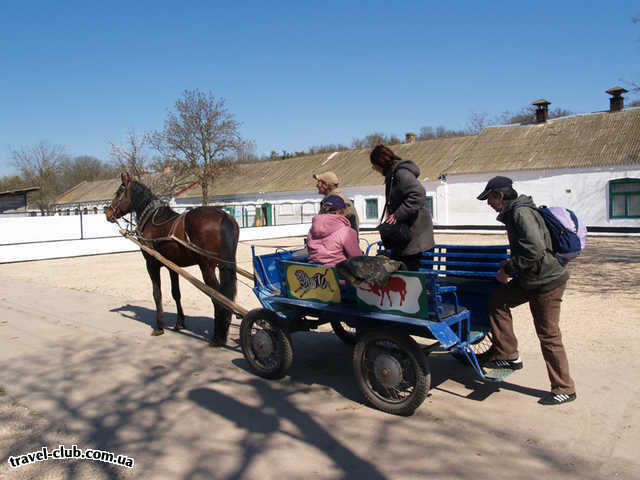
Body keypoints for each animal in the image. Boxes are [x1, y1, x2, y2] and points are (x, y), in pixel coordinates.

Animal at [106, 172, 239, 344]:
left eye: (119, 192)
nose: (108, 213)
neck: (151, 219)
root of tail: (223, 216)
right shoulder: (172, 266)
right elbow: (176, 293)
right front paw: (179, 323)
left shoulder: (152, 264)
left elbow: (157, 294)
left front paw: (159, 326)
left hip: (207, 268)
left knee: (218, 297)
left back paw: (217, 337)